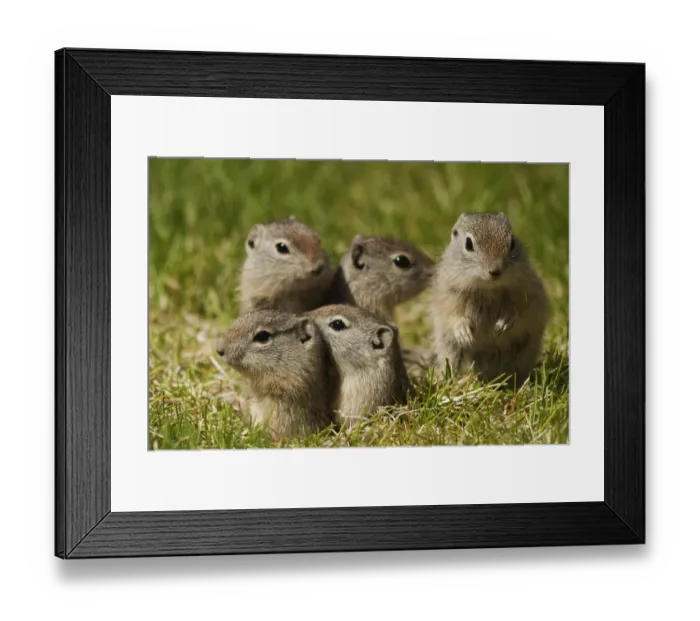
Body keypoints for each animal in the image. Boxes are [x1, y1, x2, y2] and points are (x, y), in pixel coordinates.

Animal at [431, 212, 549, 387]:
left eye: (512, 242)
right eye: (468, 244)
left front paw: (504, 322)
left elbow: (519, 307)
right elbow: (453, 316)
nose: (495, 271)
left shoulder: (527, 289)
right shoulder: (448, 296)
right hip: (450, 349)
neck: (488, 288)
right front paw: (463, 330)